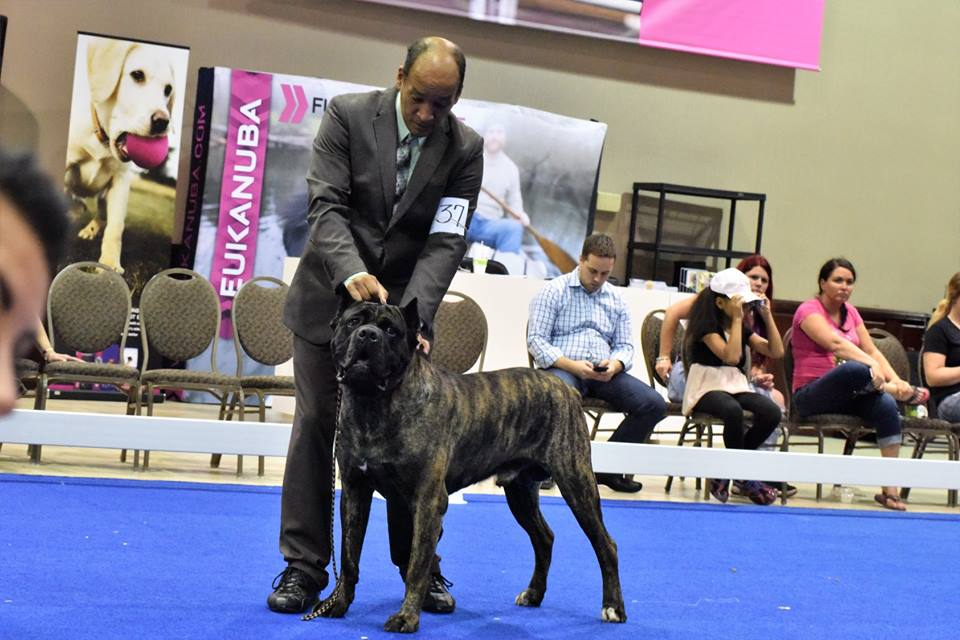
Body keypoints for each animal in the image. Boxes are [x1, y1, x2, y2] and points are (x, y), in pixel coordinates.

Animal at [316, 298, 628, 632]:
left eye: (391, 330)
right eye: (353, 322)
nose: (368, 335)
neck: (373, 403)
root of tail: (566, 388)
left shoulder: (427, 500)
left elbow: (417, 564)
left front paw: (406, 617)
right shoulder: (354, 492)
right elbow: (349, 557)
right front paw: (337, 604)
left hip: (576, 481)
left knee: (606, 545)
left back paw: (613, 607)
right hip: (520, 491)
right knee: (544, 538)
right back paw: (533, 593)